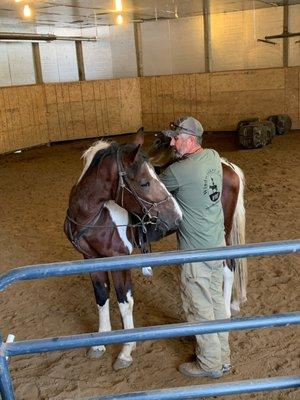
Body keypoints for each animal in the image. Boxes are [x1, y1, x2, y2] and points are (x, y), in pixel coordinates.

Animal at [64, 132, 182, 372]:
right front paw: (99, 344)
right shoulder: (91, 258)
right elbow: (102, 296)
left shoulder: (120, 259)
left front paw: (126, 351)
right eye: (144, 182)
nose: (176, 216)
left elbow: (124, 302)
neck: (94, 216)